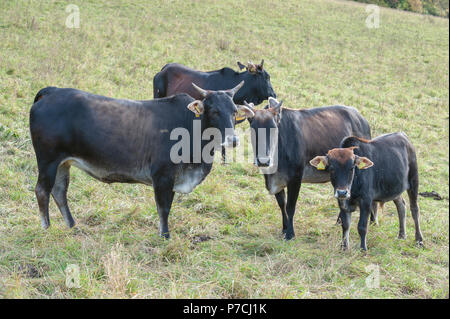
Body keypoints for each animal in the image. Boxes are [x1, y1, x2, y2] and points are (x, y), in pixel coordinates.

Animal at [29, 83, 253, 240]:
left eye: (234, 112)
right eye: (214, 111)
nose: (233, 140)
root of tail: (52, 91)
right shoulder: (163, 176)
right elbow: (164, 208)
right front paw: (165, 236)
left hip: (62, 163)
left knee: (59, 192)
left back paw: (72, 225)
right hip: (48, 160)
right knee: (42, 191)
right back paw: (46, 227)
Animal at [244, 97, 370, 240]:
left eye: (274, 129)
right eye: (253, 129)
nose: (263, 161)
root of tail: (361, 118)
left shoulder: (296, 178)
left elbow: (290, 207)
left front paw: (290, 234)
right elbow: (282, 204)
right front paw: (284, 228)